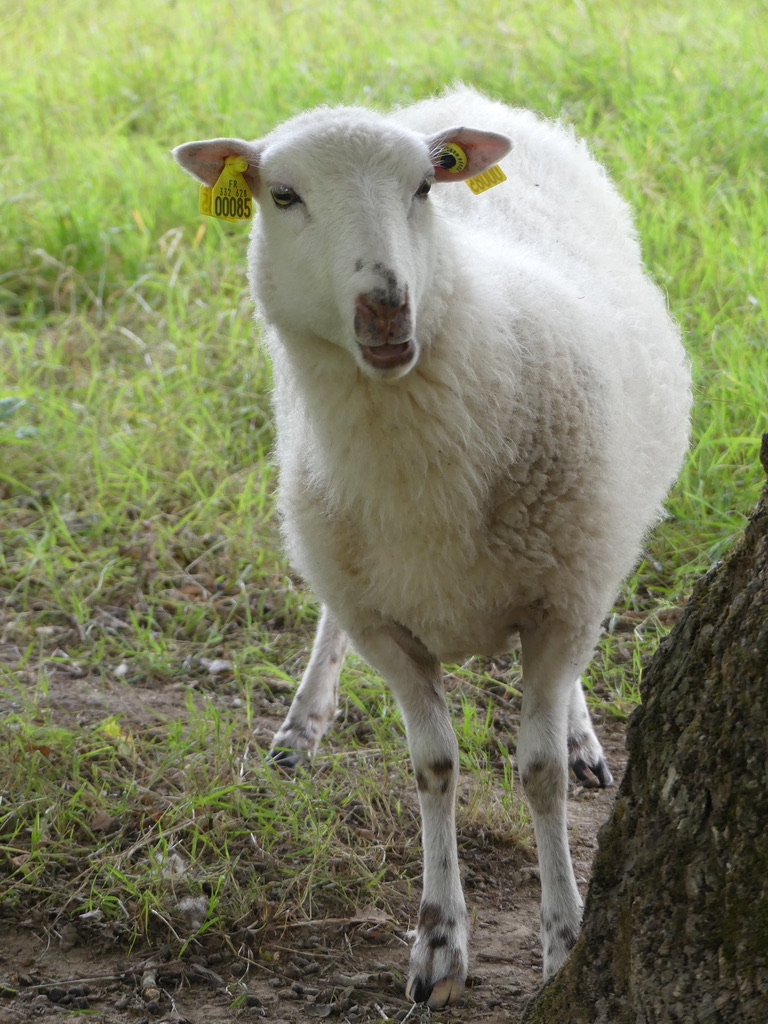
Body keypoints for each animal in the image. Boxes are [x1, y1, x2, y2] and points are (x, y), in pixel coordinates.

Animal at [174, 86, 692, 1007]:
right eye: (282, 196)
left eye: (423, 187)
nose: (386, 304)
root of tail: (461, 97)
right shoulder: (384, 625)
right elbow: (435, 767)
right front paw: (439, 943)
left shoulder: (562, 599)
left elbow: (538, 773)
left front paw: (565, 939)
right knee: (327, 621)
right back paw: (302, 727)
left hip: (592, 544)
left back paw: (583, 737)